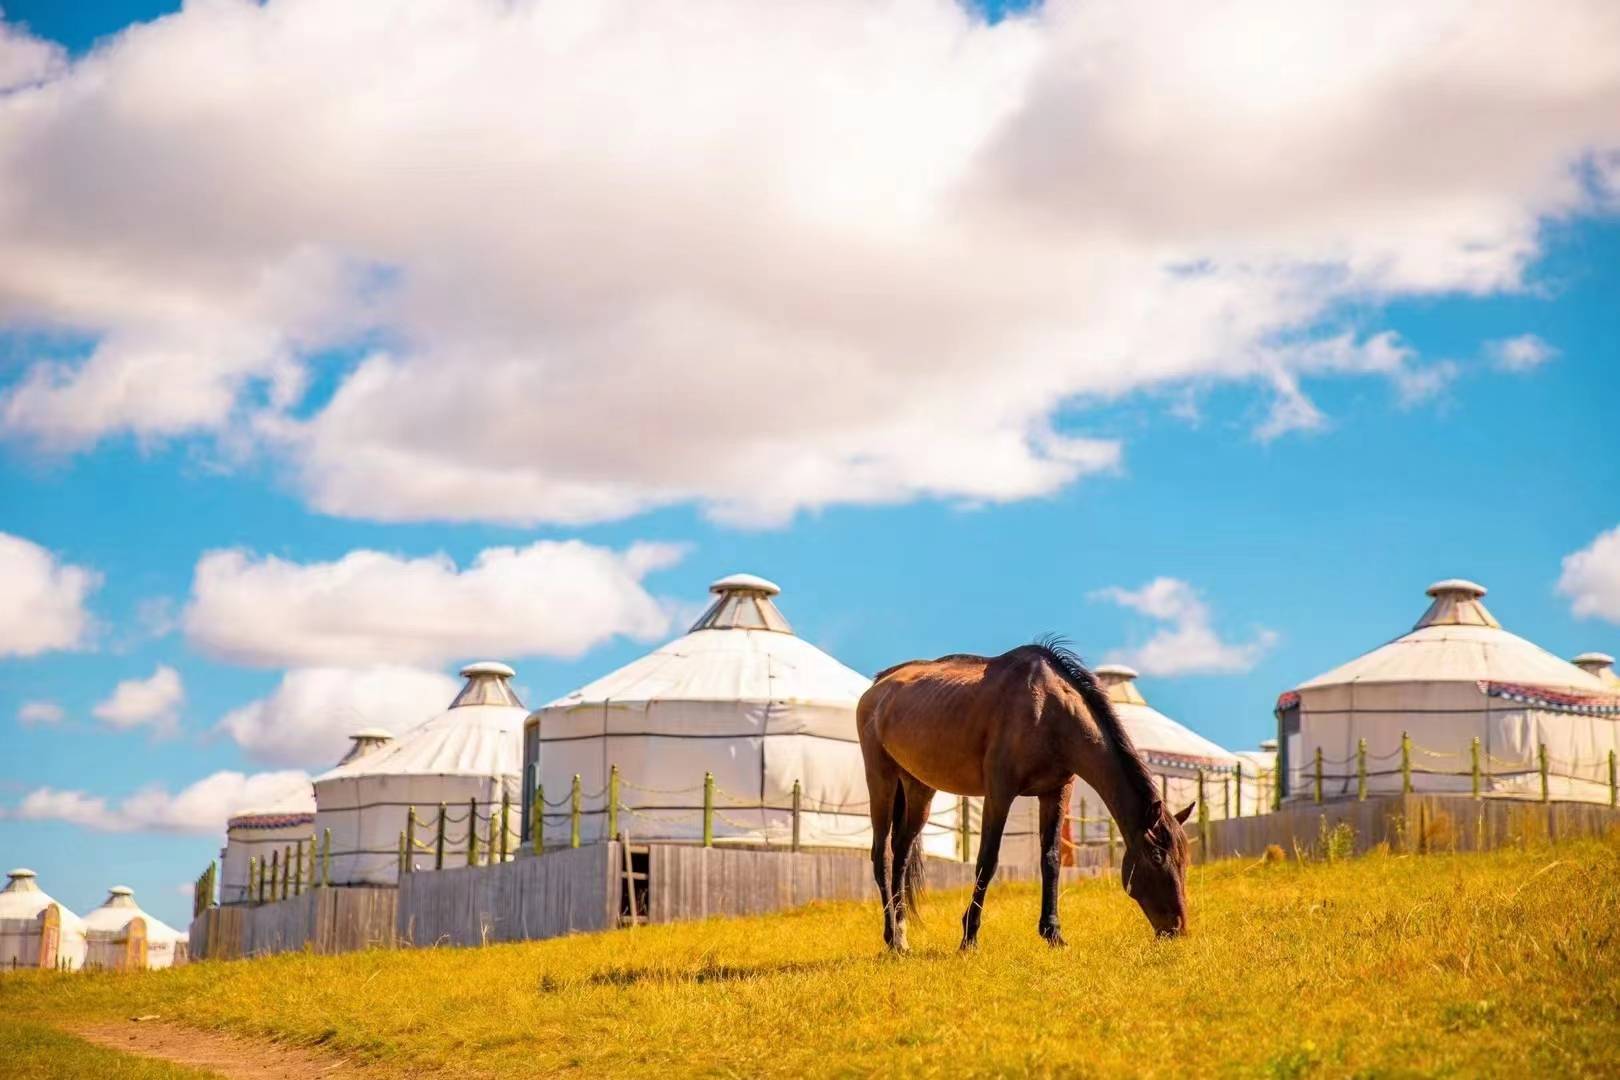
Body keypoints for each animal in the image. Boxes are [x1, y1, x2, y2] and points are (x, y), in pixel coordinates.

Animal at [861, 637, 1192, 952]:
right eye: (1157, 856)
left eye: (1184, 859)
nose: (1177, 929)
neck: (1048, 712)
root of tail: (878, 686)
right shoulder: (999, 793)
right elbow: (987, 860)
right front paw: (969, 937)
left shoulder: (1055, 793)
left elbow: (1051, 859)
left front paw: (1053, 933)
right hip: (881, 780)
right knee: (882, 856)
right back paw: (892, 940)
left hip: (919, 788)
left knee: (902, 855)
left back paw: (902, 935)